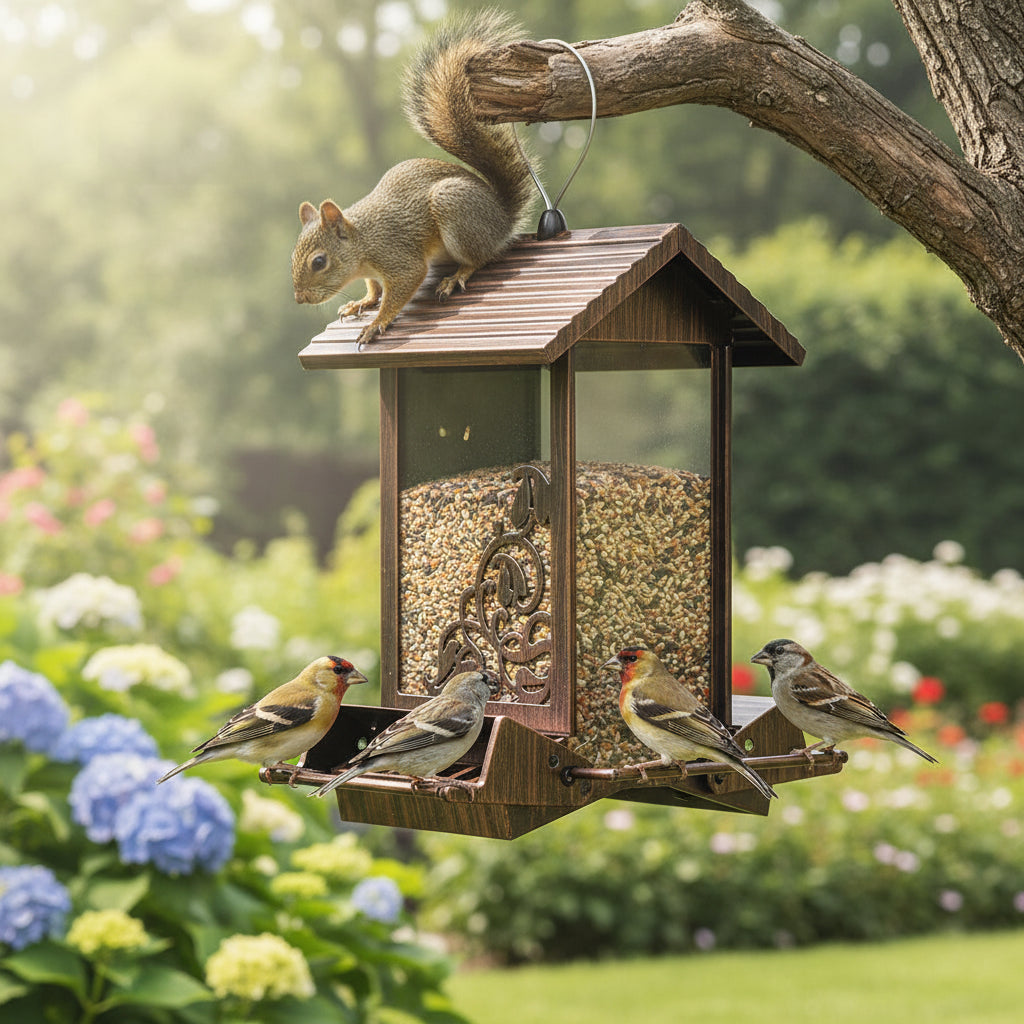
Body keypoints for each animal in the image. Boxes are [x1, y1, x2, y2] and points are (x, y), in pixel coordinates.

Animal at [291, 11, 534, 345]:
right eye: (293, 256)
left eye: (319, 262)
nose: (300, 298)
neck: (362, 242)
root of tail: (503, 217)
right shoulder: (373, 271)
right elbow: (374, 288)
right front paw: (362, 302)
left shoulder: (396, 256)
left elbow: (404, 284)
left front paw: (376, 323)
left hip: (454, 207)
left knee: (481, 258)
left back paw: (456, 277)